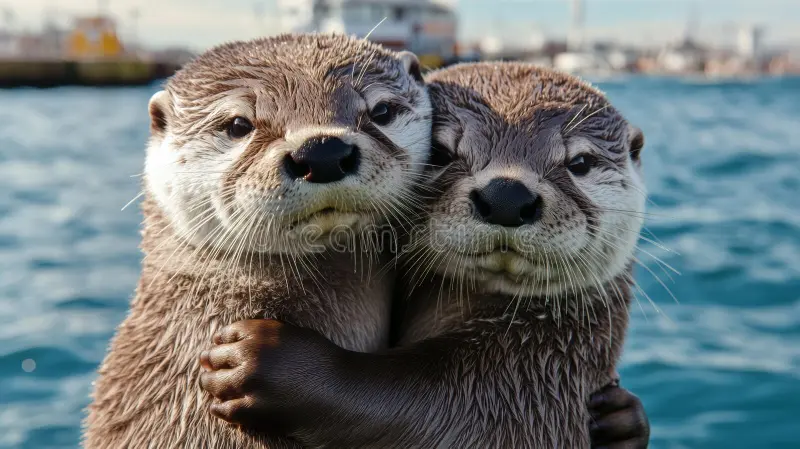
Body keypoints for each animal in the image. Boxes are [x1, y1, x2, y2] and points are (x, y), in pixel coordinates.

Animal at [198, 62, 649, 448]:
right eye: (443, 152)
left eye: (581, 162)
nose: (507, 196)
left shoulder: (522, 384)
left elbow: (418, 407)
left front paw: (263, 361)